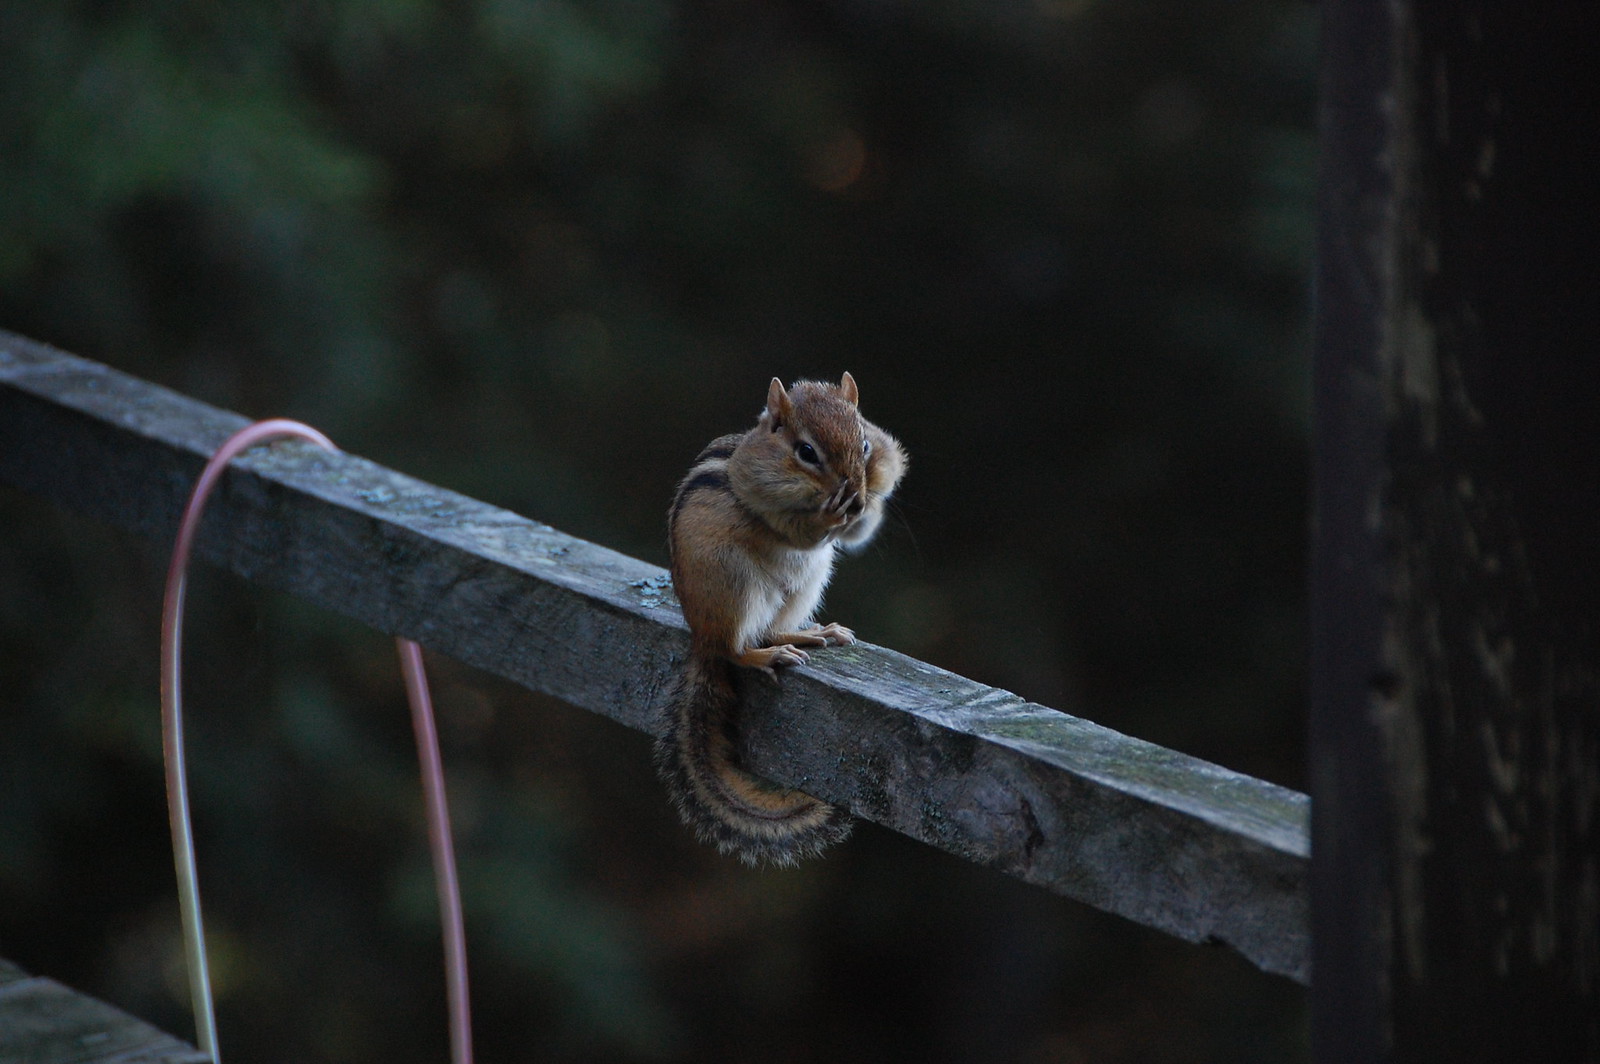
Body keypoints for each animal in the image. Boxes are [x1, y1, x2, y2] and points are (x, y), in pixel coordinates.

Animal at [655, 371, 907, 866]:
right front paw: (829, 513)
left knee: (771, 628)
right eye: (806, 451)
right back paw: (764, 656)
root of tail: (700, 634)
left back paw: (809, 634)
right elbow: (795, 530)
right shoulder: (759, 498)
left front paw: (863, 509)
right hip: (735, 583)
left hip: (808, 582)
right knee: (737, 647)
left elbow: (859, 531)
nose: (853, 493)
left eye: (865, 443)